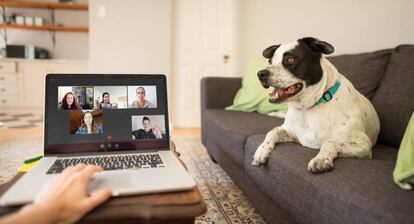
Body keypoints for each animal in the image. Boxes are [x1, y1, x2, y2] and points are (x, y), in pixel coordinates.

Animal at [251, 37, 380, 173]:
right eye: (270, 61)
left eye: (290, 59)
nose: (260, 74)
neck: (308, 108)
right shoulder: (289, 131)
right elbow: (271, 132)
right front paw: (261, 152)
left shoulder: (363, 144)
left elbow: (330, 142)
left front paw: (321, 159)